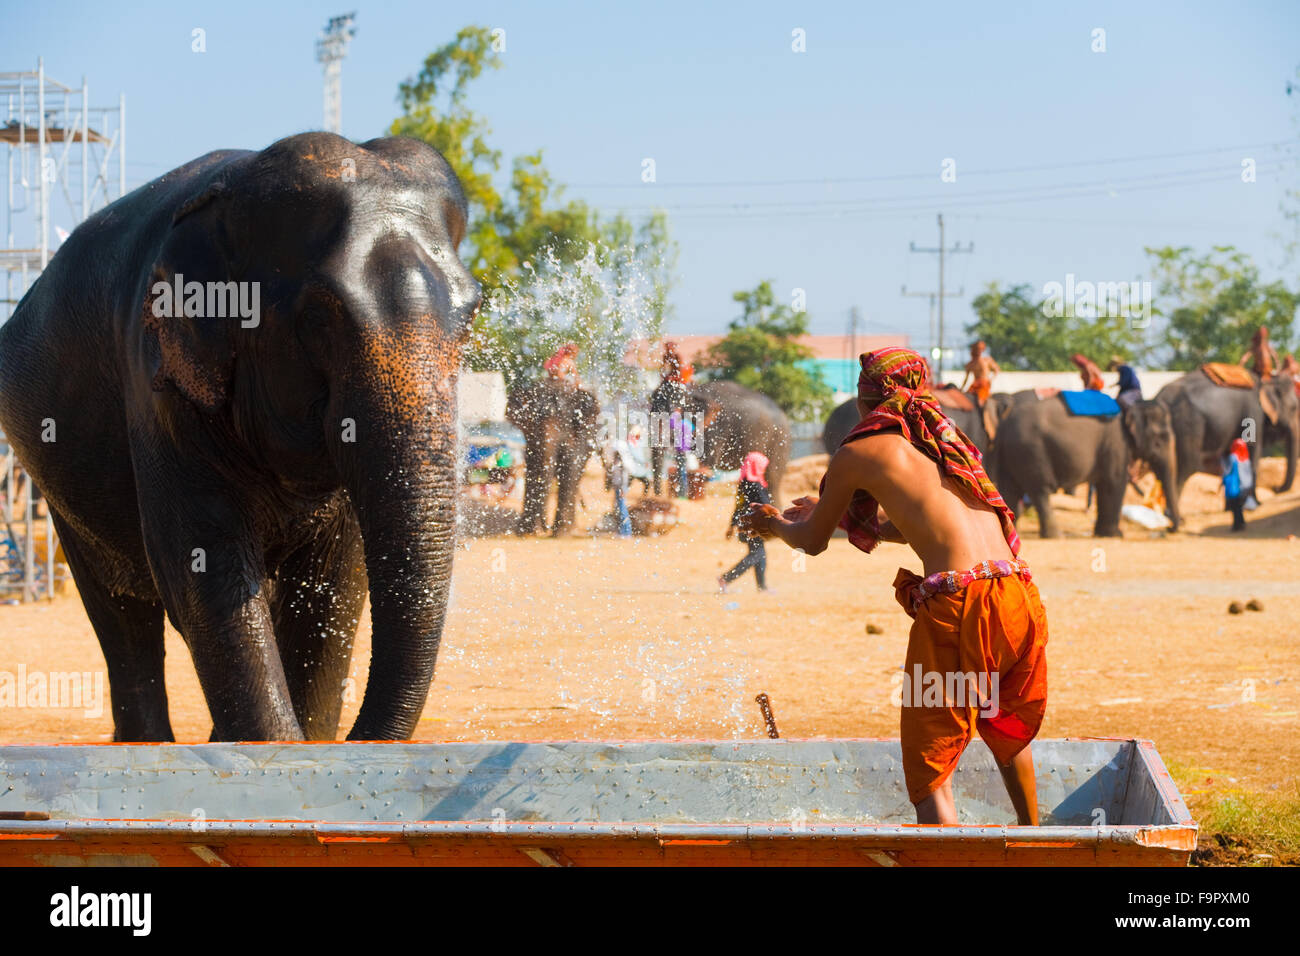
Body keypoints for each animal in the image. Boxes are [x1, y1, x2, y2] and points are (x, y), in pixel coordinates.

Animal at [0, 132, 481, 742]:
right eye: (319, 318)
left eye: (472, 315)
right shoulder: (157, 383)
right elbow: (204, 571)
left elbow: (335, 585)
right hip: (58, 492)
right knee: (121, 618)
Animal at [506, 378, 601, 536]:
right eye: (535, 425)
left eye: (564, 425)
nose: (545, 529)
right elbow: (533, 468)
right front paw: (525, 531)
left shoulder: (581, 435)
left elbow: (571, 466)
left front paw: (561, 534)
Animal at [649, 379, 791, 504]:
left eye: (674, 414)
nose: (658, 498)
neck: (694, 391)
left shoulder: (717, 428)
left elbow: (707, 465)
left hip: (779, 440)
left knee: (772, 480)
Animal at [988, 395, 1176, 538]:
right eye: (1160, 439)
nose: (1168, 528)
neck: (1132, 407)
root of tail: (1003, 426)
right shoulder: (1117, 444)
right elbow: (1114, 482)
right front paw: (1115, 535)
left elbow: (1105, 484)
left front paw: (1103, 534)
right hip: (1031, 452)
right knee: (1040, 490)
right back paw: (1055, 536)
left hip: (1012, 454)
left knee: (1010, 489)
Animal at [1155, 369, 1298, 526]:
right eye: (1294, 408)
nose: (1277, 488)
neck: (1265, 380)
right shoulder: (1254, 414)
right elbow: (1252, 454)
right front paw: (1256, 505)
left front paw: (1230, 508)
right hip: (1188, 427)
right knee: (1185, 467)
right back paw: (1177, 519)